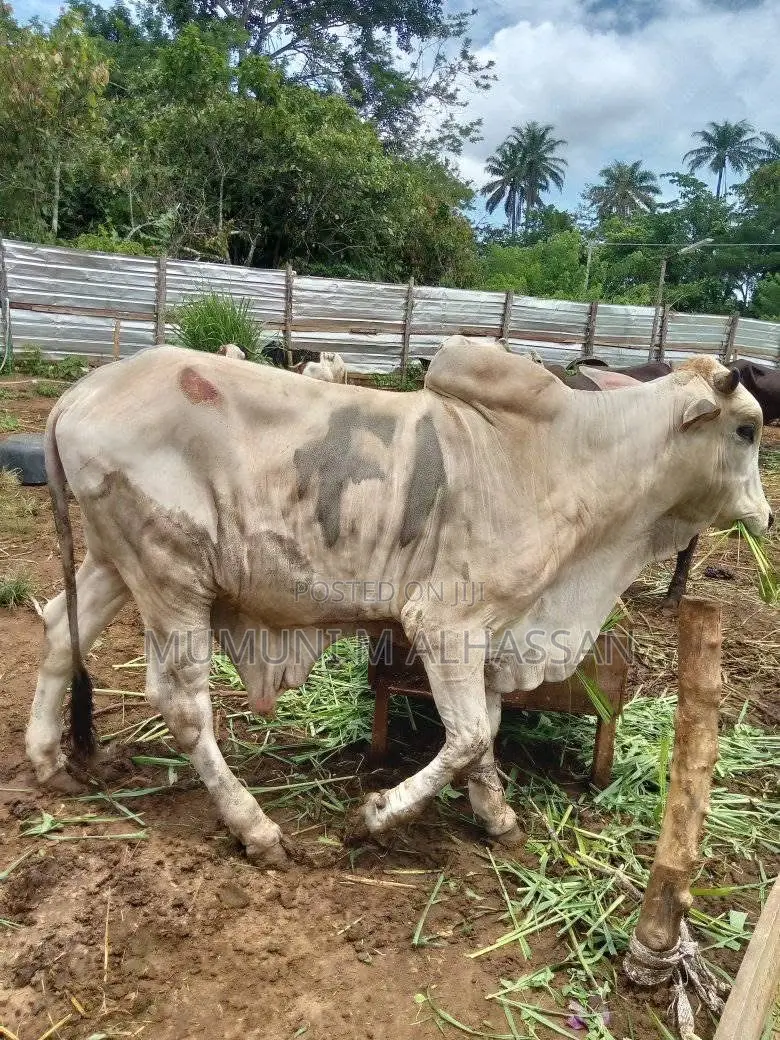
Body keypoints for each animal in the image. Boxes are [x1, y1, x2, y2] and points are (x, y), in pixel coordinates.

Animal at [25, 338, 771, 867]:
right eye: (747, 430)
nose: (764, 515)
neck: (563, 458)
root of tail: (82, 392)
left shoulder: (490, 637)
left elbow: (486, 733)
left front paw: (497, 818)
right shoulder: (446, 624)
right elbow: (469, 737)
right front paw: (375, 816)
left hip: (114, 562)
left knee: (61, 632)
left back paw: (49, 763)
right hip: (170, 574)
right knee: (182, 703)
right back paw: (256, 828)